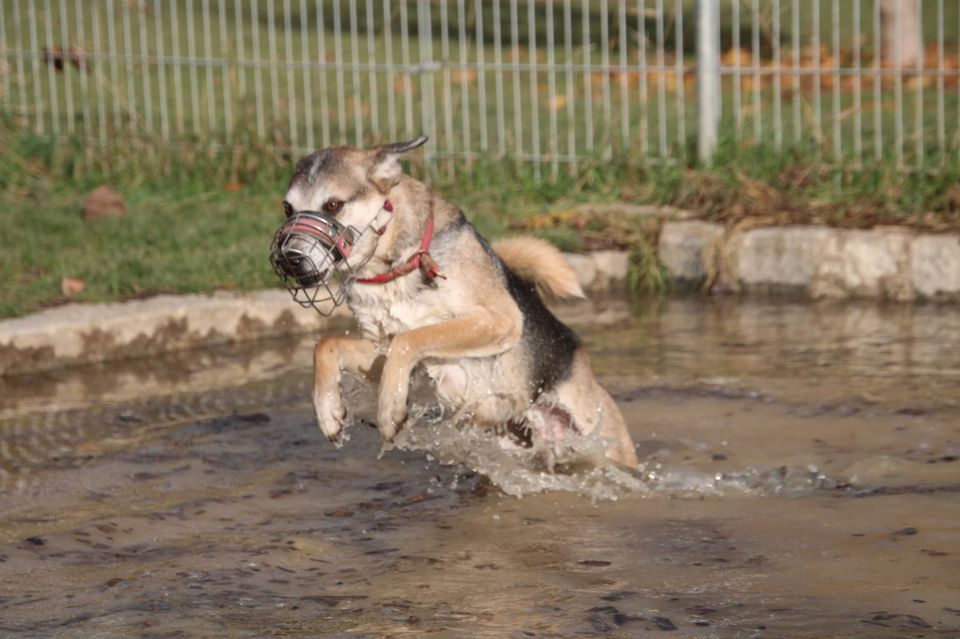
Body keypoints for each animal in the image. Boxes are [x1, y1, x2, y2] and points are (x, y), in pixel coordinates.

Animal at [270, 135, 636, 468]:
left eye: (332, 205)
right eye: (288, 209)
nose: (290, 260)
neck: (393, 266)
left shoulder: (498, 321)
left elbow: (411, 338)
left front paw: (389, 412)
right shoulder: (383, 350)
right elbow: (326, 345)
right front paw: (329, 412)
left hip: (603, 438)